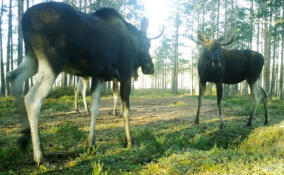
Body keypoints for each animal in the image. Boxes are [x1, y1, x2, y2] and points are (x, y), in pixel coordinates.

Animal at [6, 2, 162, 165]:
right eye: (147, 44)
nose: (150, 67)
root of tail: (24, 20)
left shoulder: (99, 76)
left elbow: (95, 108)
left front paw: (91, 144)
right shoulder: (124, 73)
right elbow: (126, 110)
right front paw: (130, 141)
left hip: (32, 58)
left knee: (13, 77)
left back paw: (23, 137)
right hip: (52, 62)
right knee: (32, 98)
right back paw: (40, 155)